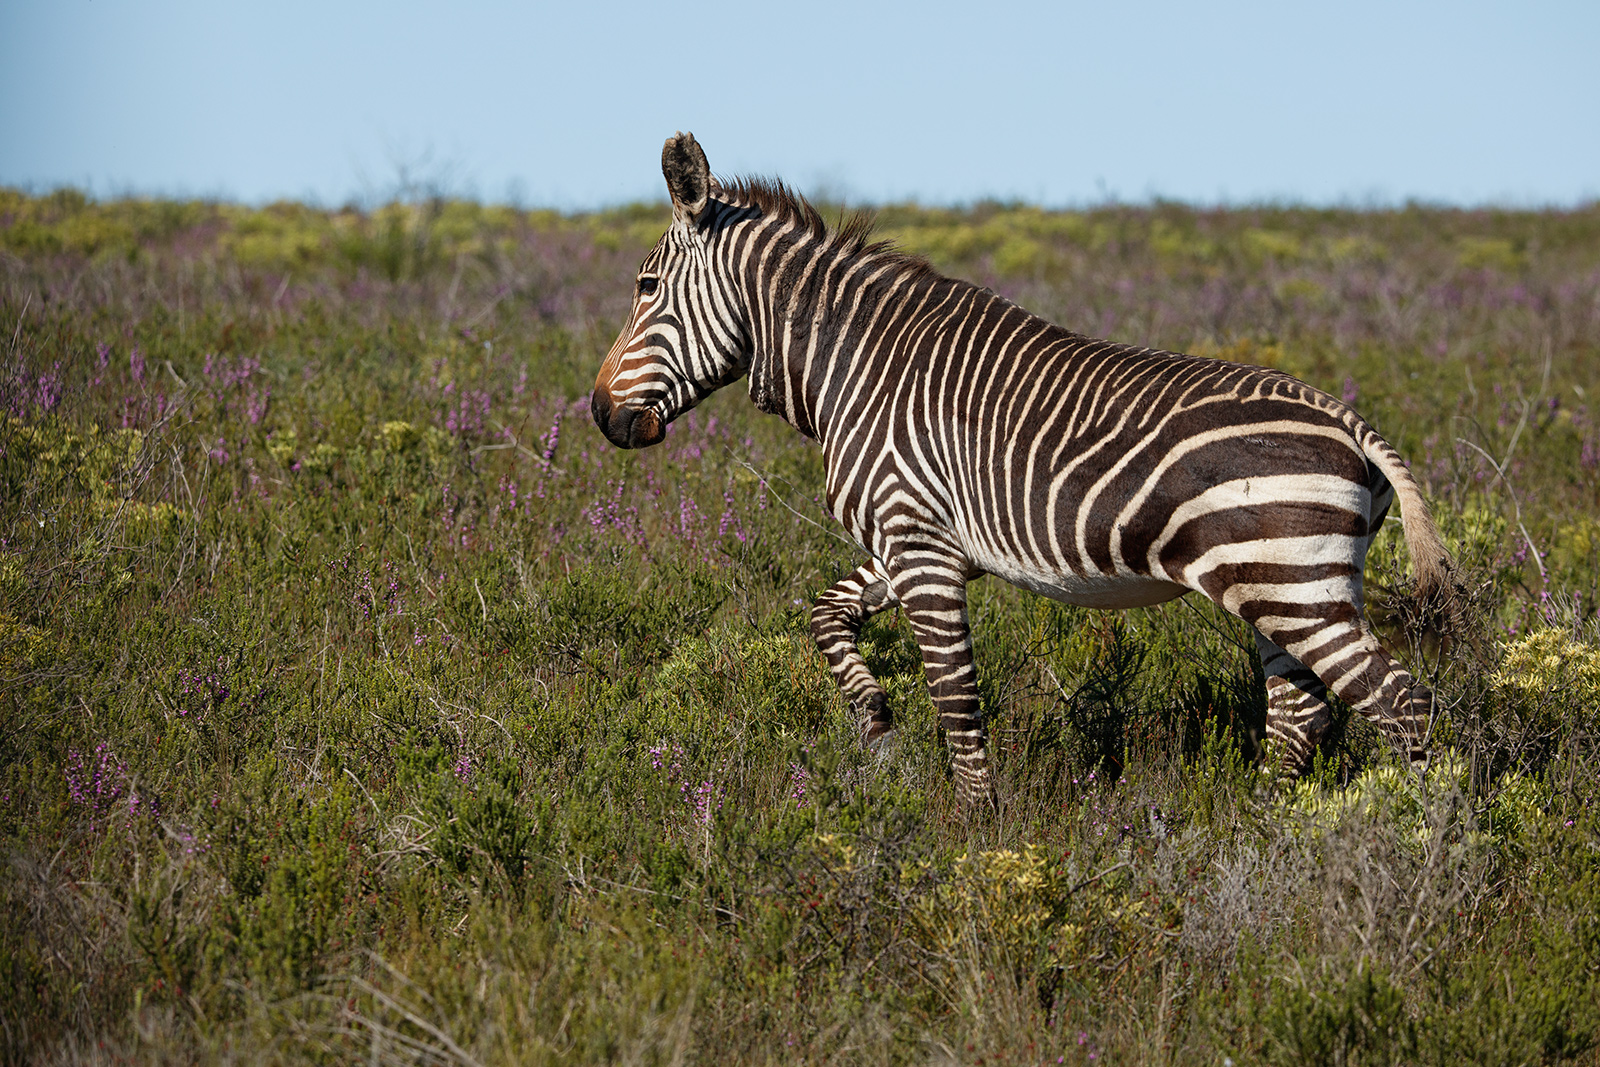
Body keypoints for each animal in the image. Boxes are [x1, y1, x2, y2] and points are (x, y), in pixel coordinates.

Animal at [591, 132, 1458, 807]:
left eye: (645, 287)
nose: (600, 413)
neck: (859, 367)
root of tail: (1349, 420)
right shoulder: (917, 541)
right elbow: (825, 615)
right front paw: (876, 722)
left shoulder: (920, 545)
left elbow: (956, 696)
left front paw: (974, 832)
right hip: (1285, 587)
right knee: (1299, 712)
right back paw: (1268, 834)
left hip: (1294, 586)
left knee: (1403, 705)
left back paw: (1420, 845)